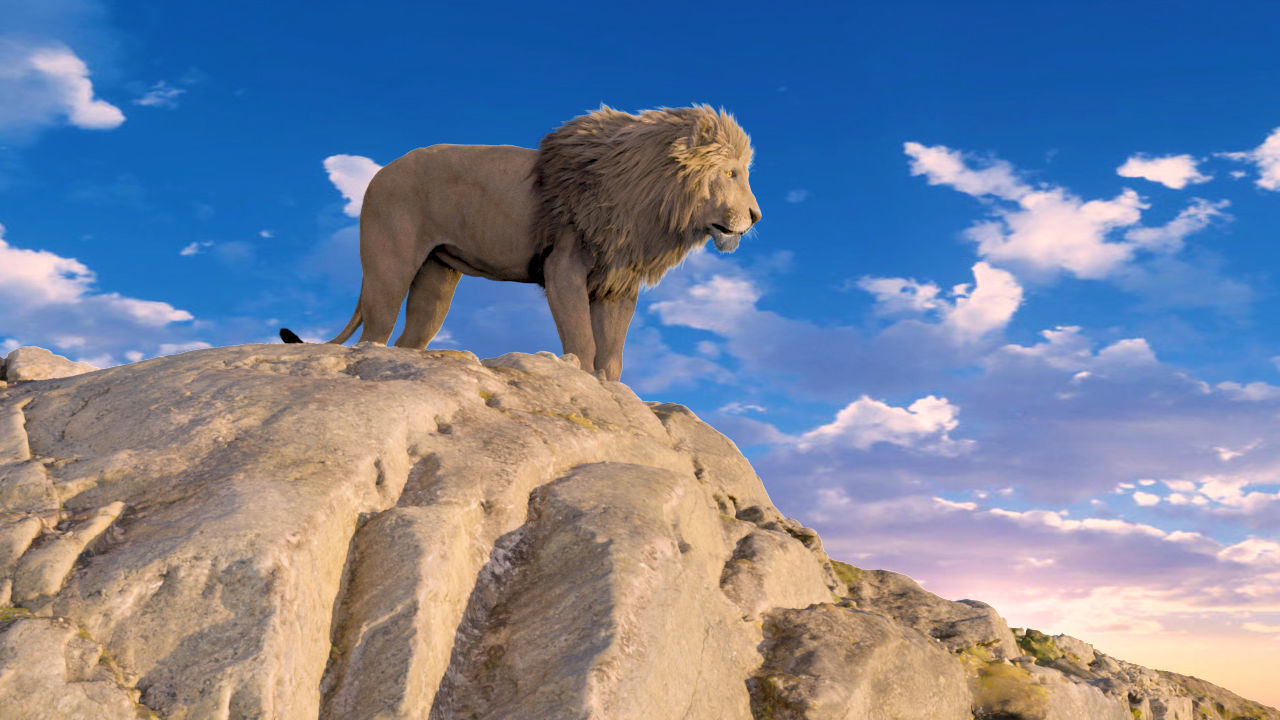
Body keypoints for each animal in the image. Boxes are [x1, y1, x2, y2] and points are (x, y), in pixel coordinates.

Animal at [281, 105, 761, 381]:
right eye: (731, 173)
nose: (756, 217)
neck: (650, 197)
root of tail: (381, 172)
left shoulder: (618, 283)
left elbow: (613, 353)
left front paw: (612, 390)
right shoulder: (563, 266)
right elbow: (582, 338)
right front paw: (579, 376)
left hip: (436, 277)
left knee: (410, 337)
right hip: (390, 263)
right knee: (375, 332)